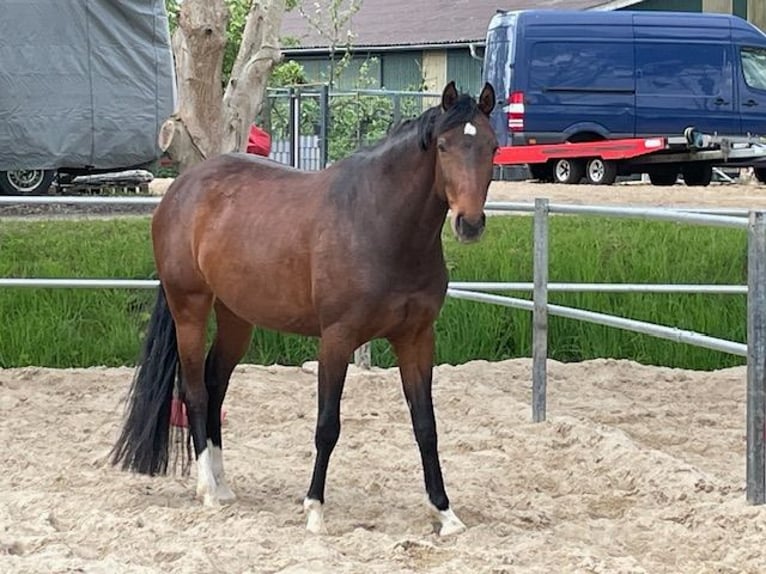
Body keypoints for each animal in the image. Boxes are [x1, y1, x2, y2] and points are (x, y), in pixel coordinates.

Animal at [110, 81, 498, 536]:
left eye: (492, 146)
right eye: (442, 146)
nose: (469, 224)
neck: (380, 223)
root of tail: (180, 189)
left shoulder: (417, 339)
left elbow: (426, 426)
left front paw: (445, 513)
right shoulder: (337, 339)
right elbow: (327, 425)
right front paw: (315, 510)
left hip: (236, 318)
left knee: (214, 384)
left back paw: (223, 486)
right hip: (189, 309)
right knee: (195, 393)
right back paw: (207, 490)